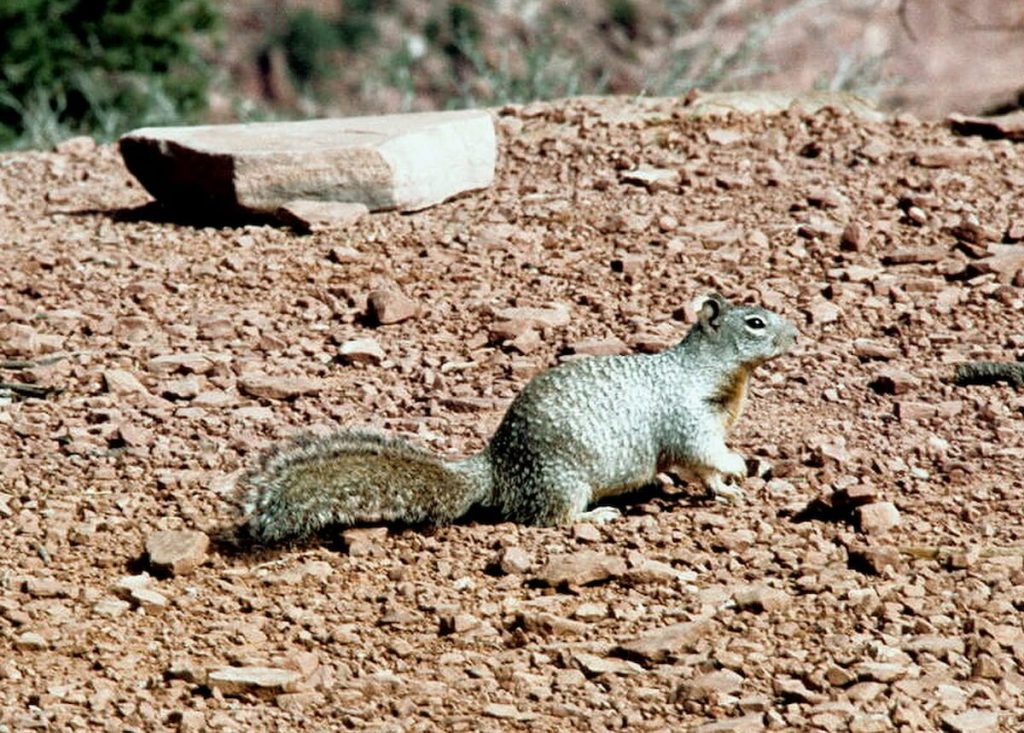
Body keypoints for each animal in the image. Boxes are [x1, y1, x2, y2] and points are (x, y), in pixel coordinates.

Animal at [240, 293, 797, 543]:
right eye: (755, 322)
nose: (796, 334)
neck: (713, 372)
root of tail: (497, 468)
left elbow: (702, 470)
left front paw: (727, 486)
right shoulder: (689, 418)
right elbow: (702, 452)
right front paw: (739, 467)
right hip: (563, 479)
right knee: (548, 518)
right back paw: (597, 516)